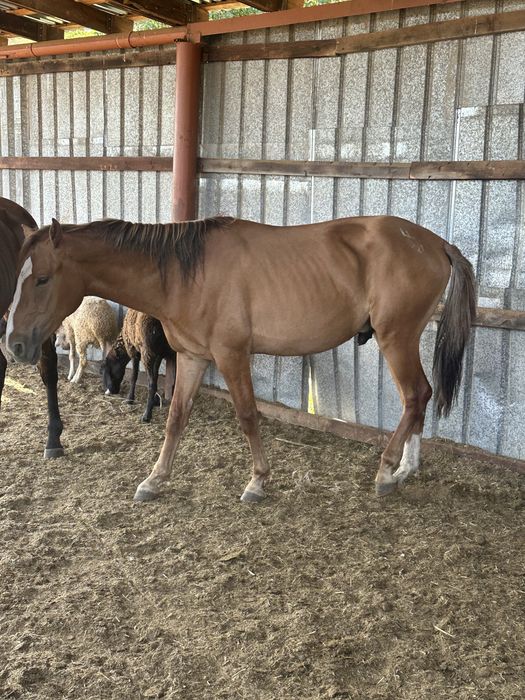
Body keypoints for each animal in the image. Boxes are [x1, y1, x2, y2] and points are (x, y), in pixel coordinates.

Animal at [6, 215, 476, 501]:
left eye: (42, 278)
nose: (14, 344)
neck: (185, 273)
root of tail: (435, 243)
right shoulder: (192, 357)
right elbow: (175, 417)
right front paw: (155, 480)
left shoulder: (231, 356)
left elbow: (248, 416)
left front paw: (257, 481)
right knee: (420, 397)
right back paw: (405, 469)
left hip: (397, 338)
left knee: (415, 394)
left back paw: (386, 470)